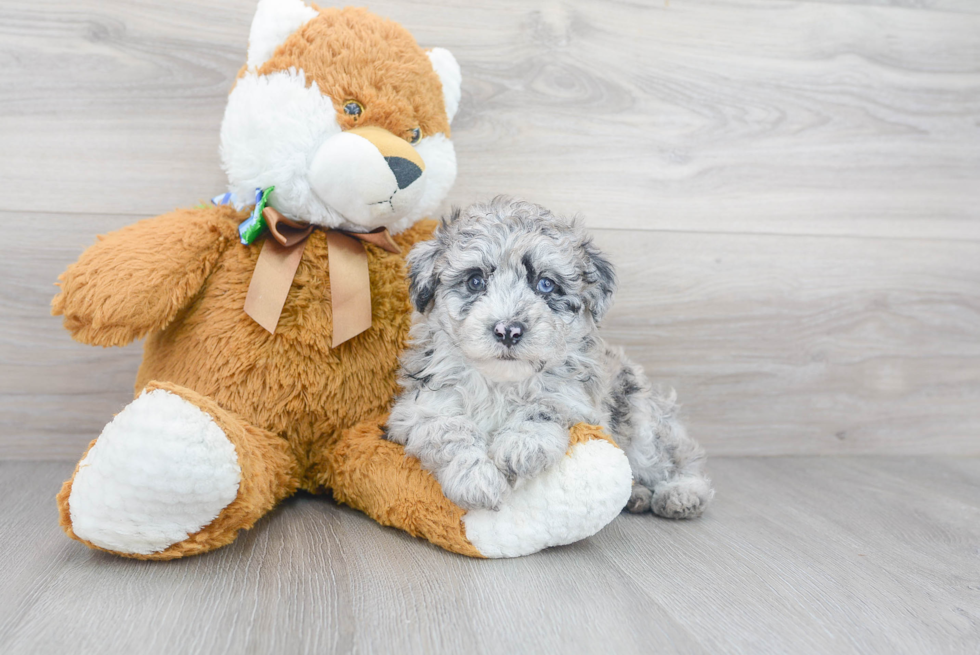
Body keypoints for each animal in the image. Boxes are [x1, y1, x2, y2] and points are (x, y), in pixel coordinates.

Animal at [384, 197, 712, 520]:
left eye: (545, 284)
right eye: (475, 281)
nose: (508, 330)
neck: (500, 383)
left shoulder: (577, 403)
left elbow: (543, 406)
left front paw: (520, 445)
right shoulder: (419, 408)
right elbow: (448, 430)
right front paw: (475, 478)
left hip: (641, 421)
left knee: (675, 459)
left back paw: (681, 494)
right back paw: (637, 496)